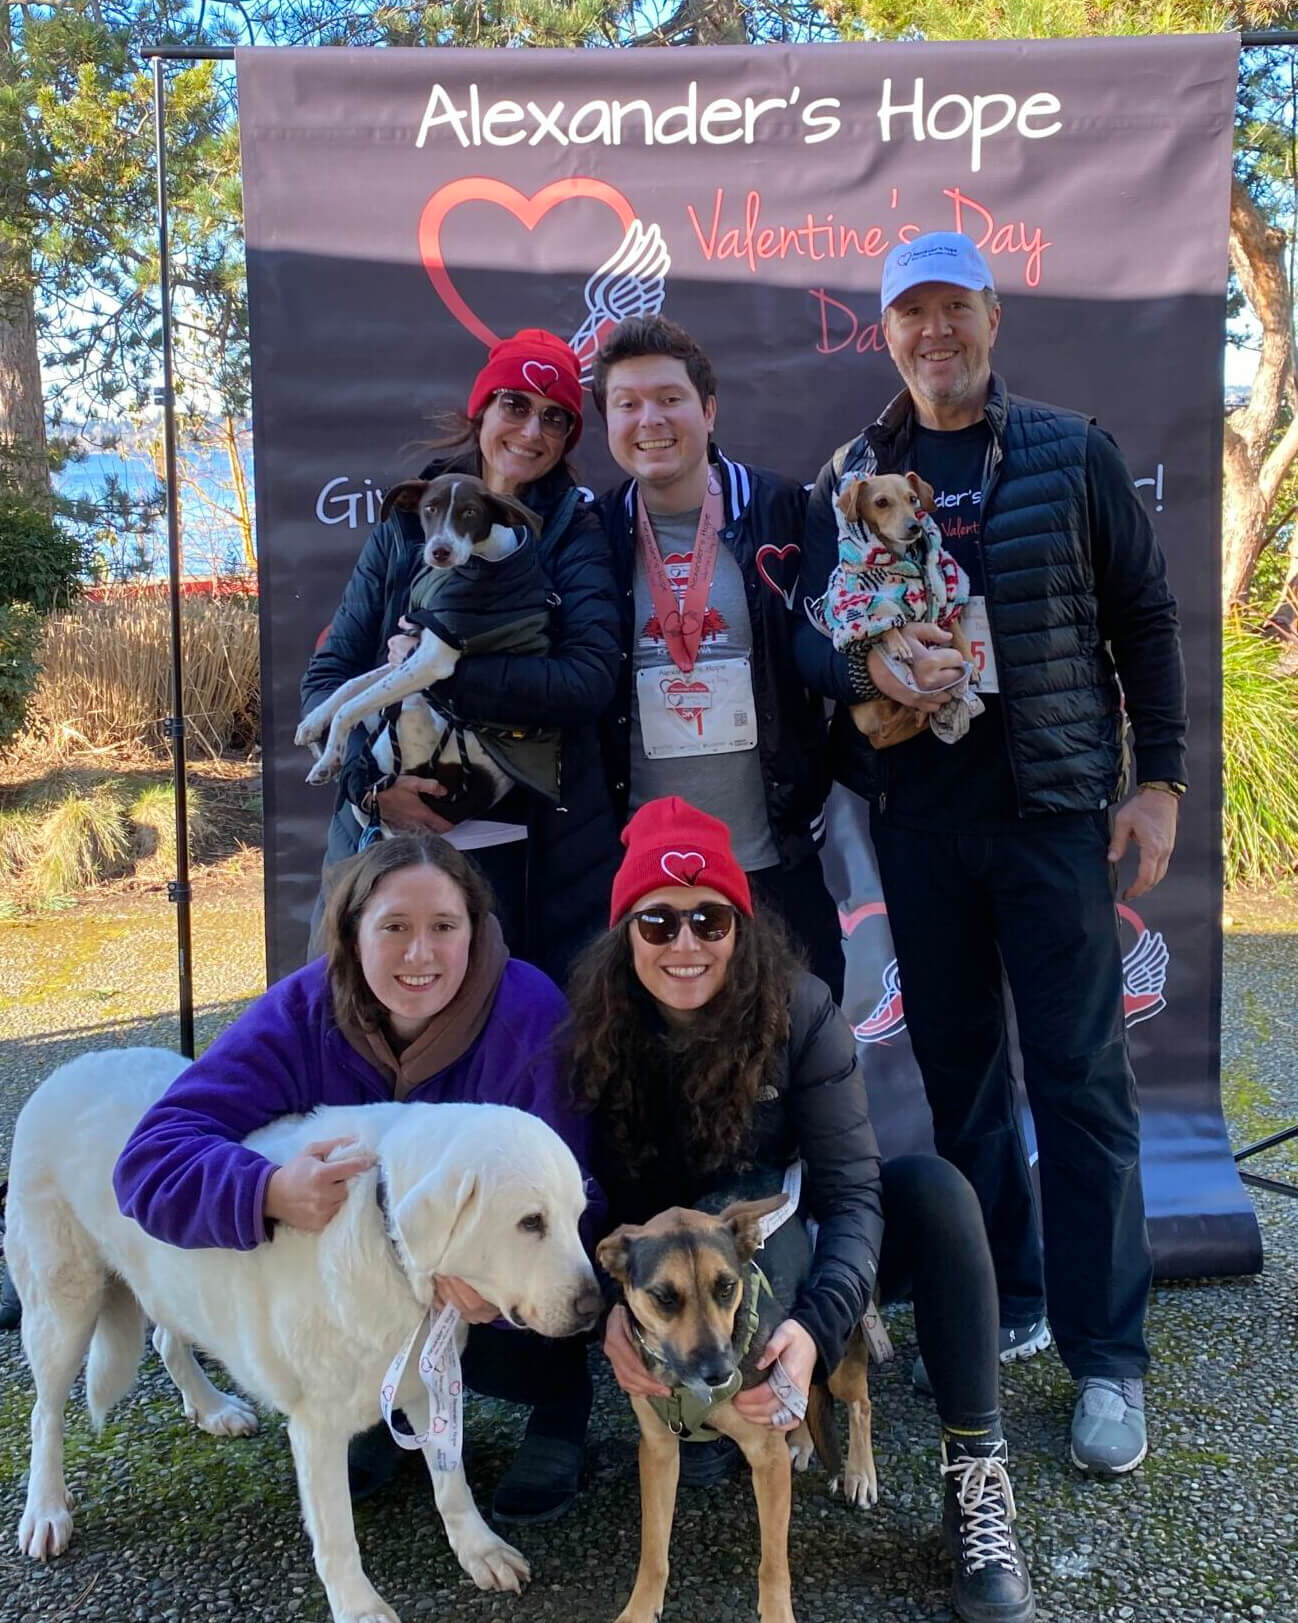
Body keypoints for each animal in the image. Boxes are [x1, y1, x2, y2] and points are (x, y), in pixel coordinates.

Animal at [7, 1045, 597, 1623]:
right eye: (530, 1222)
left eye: (577, 1217)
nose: (596, 1306)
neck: (386, 1244)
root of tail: (71, 1066)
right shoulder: (317, 1430)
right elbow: (337, 1538)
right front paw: (360, 1608)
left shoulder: (428, 1384)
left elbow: (453, 1486)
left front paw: (479, 1550)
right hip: (62, 1309)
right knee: (45, 1414)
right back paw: (46, 1510)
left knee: (165, 1340)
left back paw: (213, 1408)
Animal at [603, 1194, 876, 1623]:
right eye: (664, 1297)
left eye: (727, 1287)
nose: (720, 1373)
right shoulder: (658, 1452)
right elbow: (653, 1547)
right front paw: (641, 1608)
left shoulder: (766, 1459)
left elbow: (774, 1562)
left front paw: (778, 1613)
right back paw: (801, 1441)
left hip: (837, 1359)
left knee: (861, 1404)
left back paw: (861, 1473)